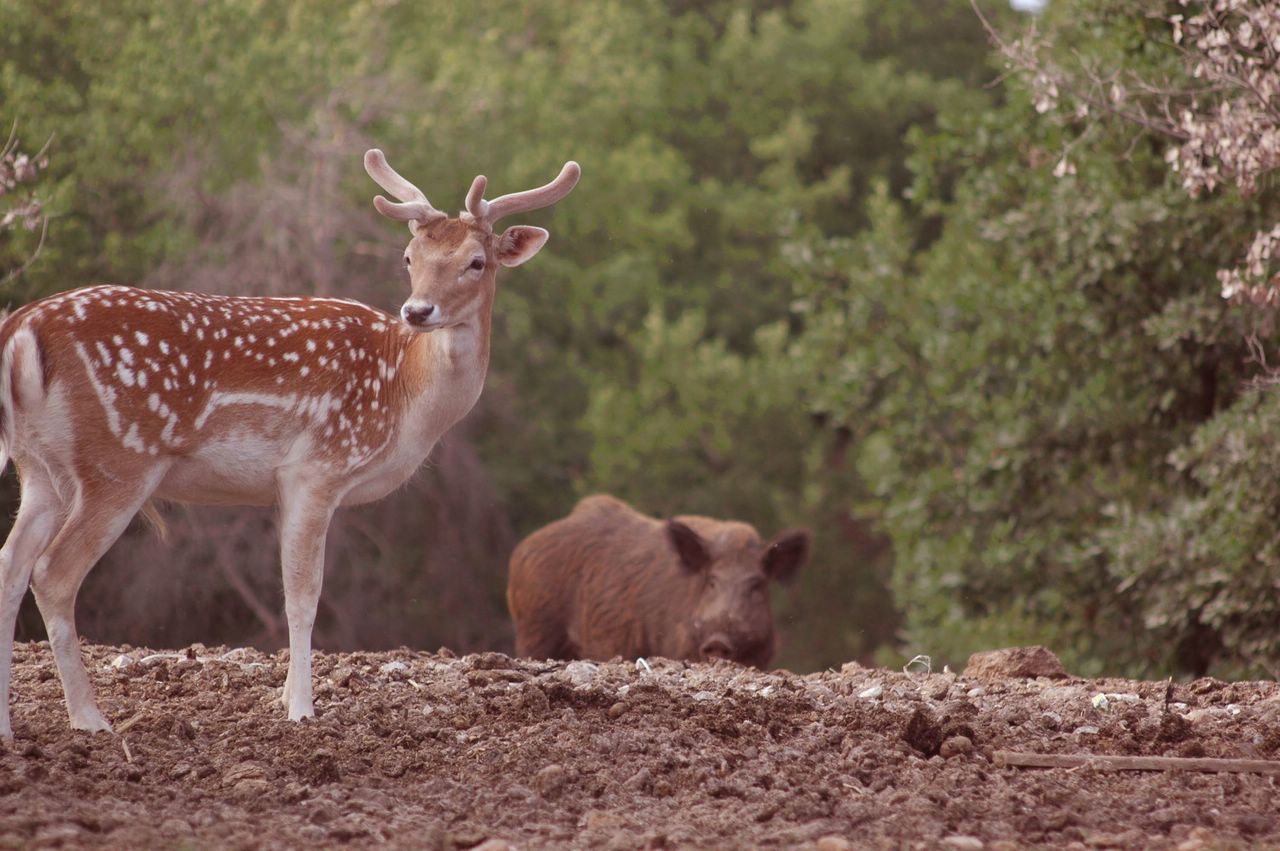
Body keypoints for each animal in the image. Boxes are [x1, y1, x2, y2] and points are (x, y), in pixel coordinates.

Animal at [0, 149, 581, 731]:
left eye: (476, 261)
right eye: (409, 258)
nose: (417, 312)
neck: (403, 397)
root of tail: (21, 330)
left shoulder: (282, 487)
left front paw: (283, 700)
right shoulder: (317, 467)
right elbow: (303, 595)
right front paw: (302, 710)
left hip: (41, 467)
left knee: (11, 564)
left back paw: (10, 725)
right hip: (118, 458)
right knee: (52, 573)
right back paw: (89, 719)